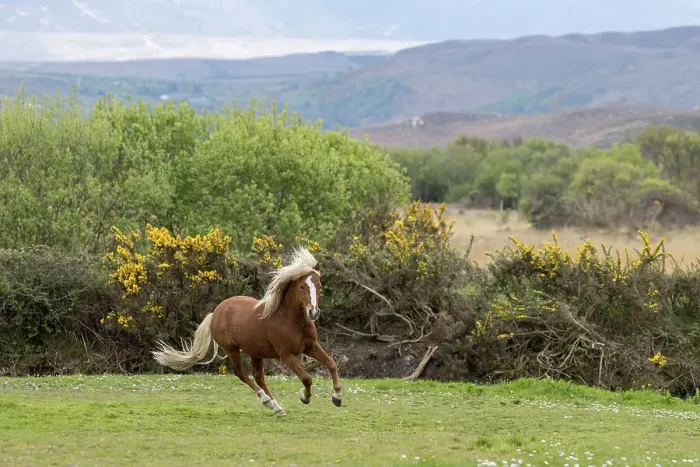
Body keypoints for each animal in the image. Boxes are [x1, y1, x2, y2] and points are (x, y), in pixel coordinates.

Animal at [151, 247, 342, 416]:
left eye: (319, 286)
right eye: (302, 287)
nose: (313, 312)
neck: (290, 320)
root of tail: (215, 313)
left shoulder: (311, 346)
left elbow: (331, 364)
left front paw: (337, 397)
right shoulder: (287, 354)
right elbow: (307, 378)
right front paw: (305, 397)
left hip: (255, 352)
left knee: (258, 377)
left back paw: (277, 408)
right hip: (232, 349)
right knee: (241, 374)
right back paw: (267, 401)